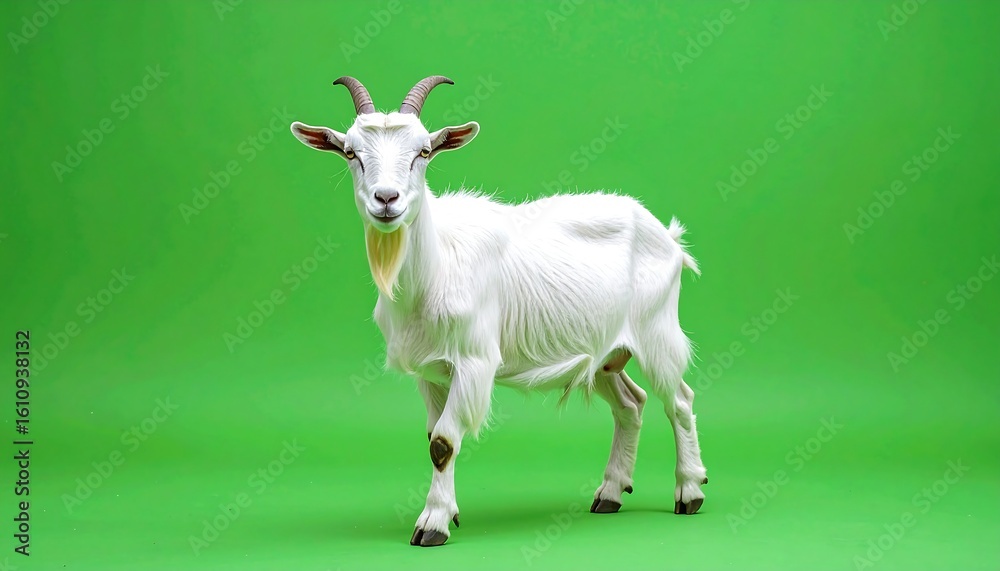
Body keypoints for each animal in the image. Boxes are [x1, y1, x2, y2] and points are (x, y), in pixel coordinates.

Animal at [290, 76, 708, 547]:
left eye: (423, 151)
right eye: (350, 153)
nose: (386, 199)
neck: (436, 266)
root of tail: (668, 237)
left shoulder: (474, 360)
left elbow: (444, 442)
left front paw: (431, 524)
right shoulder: (430, 372)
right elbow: (433, 436)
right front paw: (449, 512)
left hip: (657, 330)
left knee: (679, 400)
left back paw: (689, 491)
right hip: (604, 352)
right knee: (630, 404)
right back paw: (611, 493)